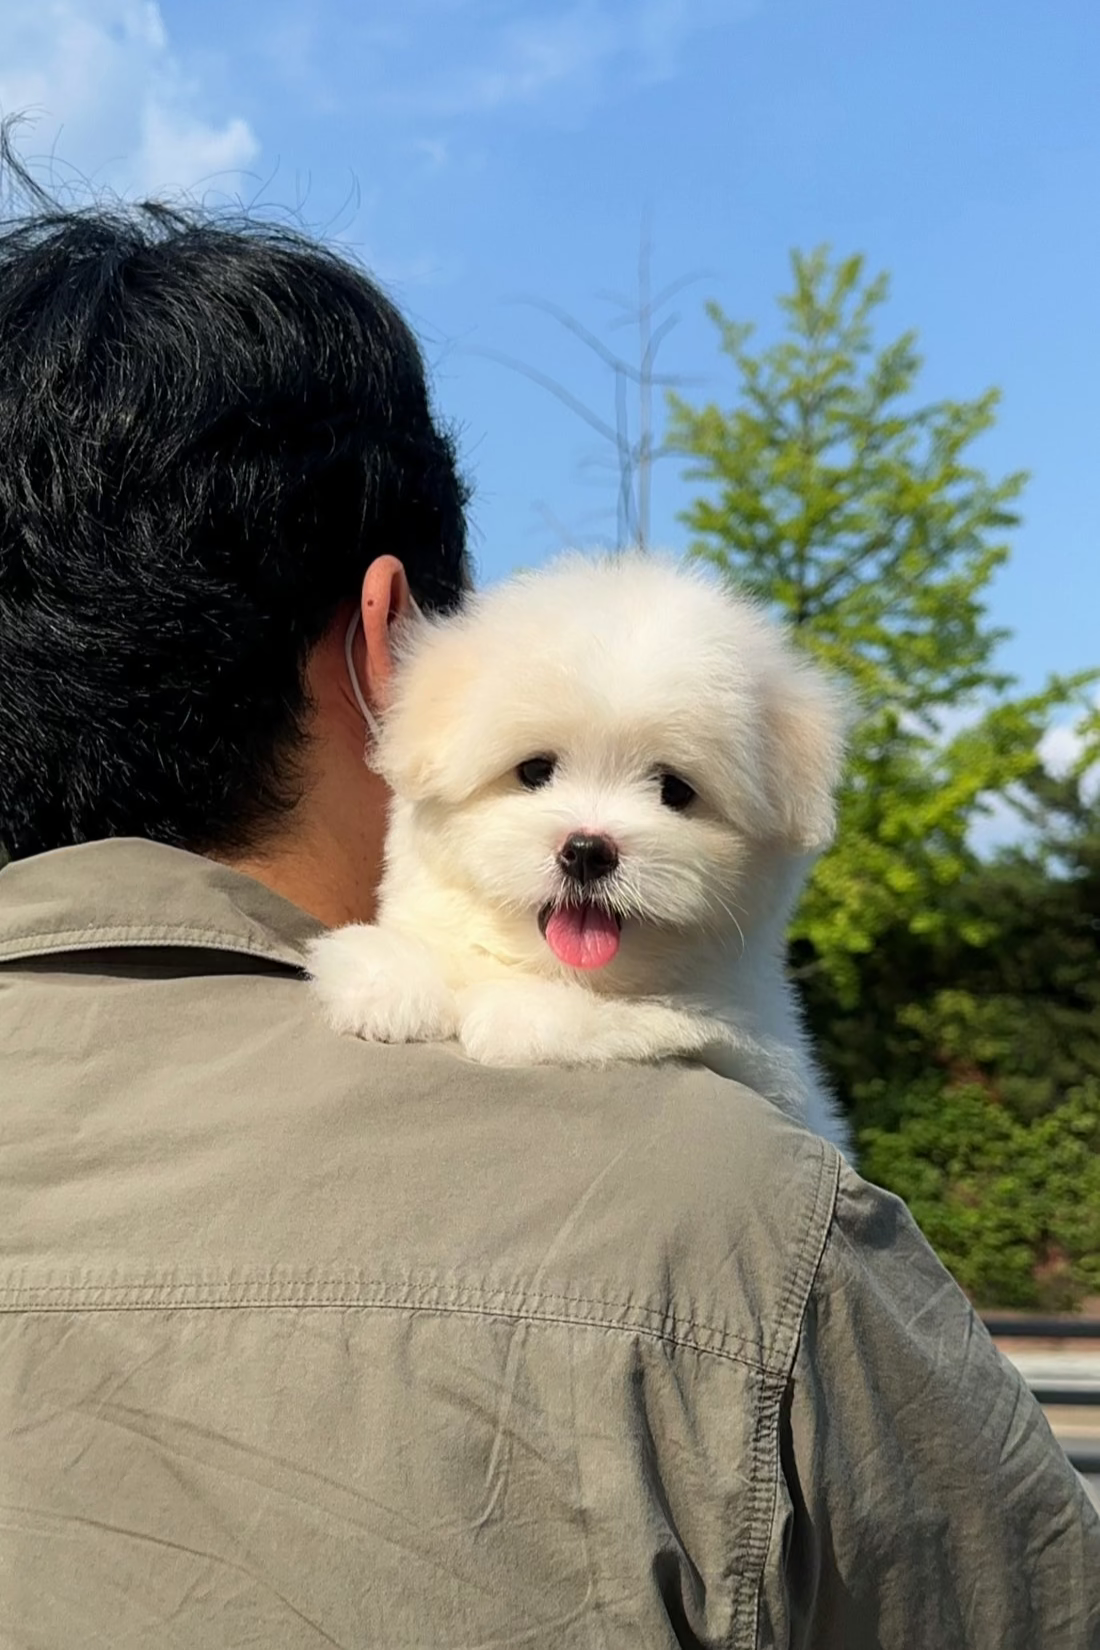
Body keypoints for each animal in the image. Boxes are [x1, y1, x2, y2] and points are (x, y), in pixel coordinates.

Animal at [308, 551, 850, 1148]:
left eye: (675, 790)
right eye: (534, 770)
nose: (588, 850)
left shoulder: (754, 1043)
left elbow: (656, 1014)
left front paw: (523, 1013)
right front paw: (392, 974)